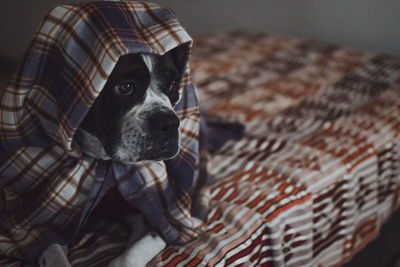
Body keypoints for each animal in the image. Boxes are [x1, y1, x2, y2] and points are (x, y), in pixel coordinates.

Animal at [38, 51, 185, 267]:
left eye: (173, 85)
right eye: (125, 87)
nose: (169, 122)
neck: (104, 164)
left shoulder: (154, 220)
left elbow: (128, 257)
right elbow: (54, 251)